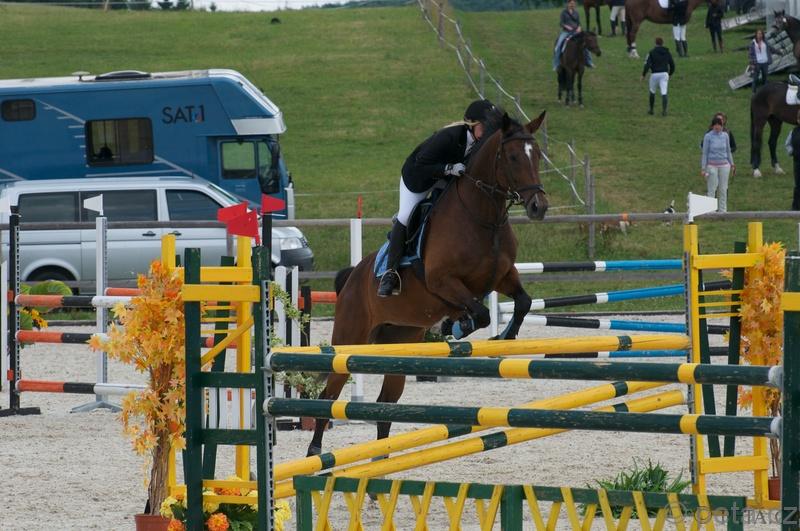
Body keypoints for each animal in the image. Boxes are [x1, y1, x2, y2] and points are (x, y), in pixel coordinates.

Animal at [306, 112, 549, 457]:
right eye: (513, 157)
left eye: (538, 155)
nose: (538, 207)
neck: (482, 216)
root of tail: (352, 277)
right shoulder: (442, 281)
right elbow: (481, 313)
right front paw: (457, 326)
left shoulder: (502, 277)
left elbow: (523, 301)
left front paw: (505, 336)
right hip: (349, 338)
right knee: (328, 395)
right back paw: (315, 453)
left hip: (399, 342)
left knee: (384, 405)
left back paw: (381, 460)